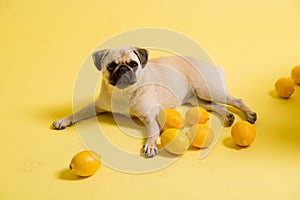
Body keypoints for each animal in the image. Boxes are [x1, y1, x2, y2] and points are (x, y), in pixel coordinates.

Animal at [52, 47, 256, 158]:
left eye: (133, 64)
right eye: (111, 65)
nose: (123, 69)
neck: (123, 93)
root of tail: (211, 66)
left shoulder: (149, 116)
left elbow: (153, 131)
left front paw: (150, 144)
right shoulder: (96, 106)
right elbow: (77, 112)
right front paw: (63, 120)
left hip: (207, 89)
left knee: (236, 100)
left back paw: (249, 113)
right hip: (199, 100)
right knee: (215, 106)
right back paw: (228, 116)